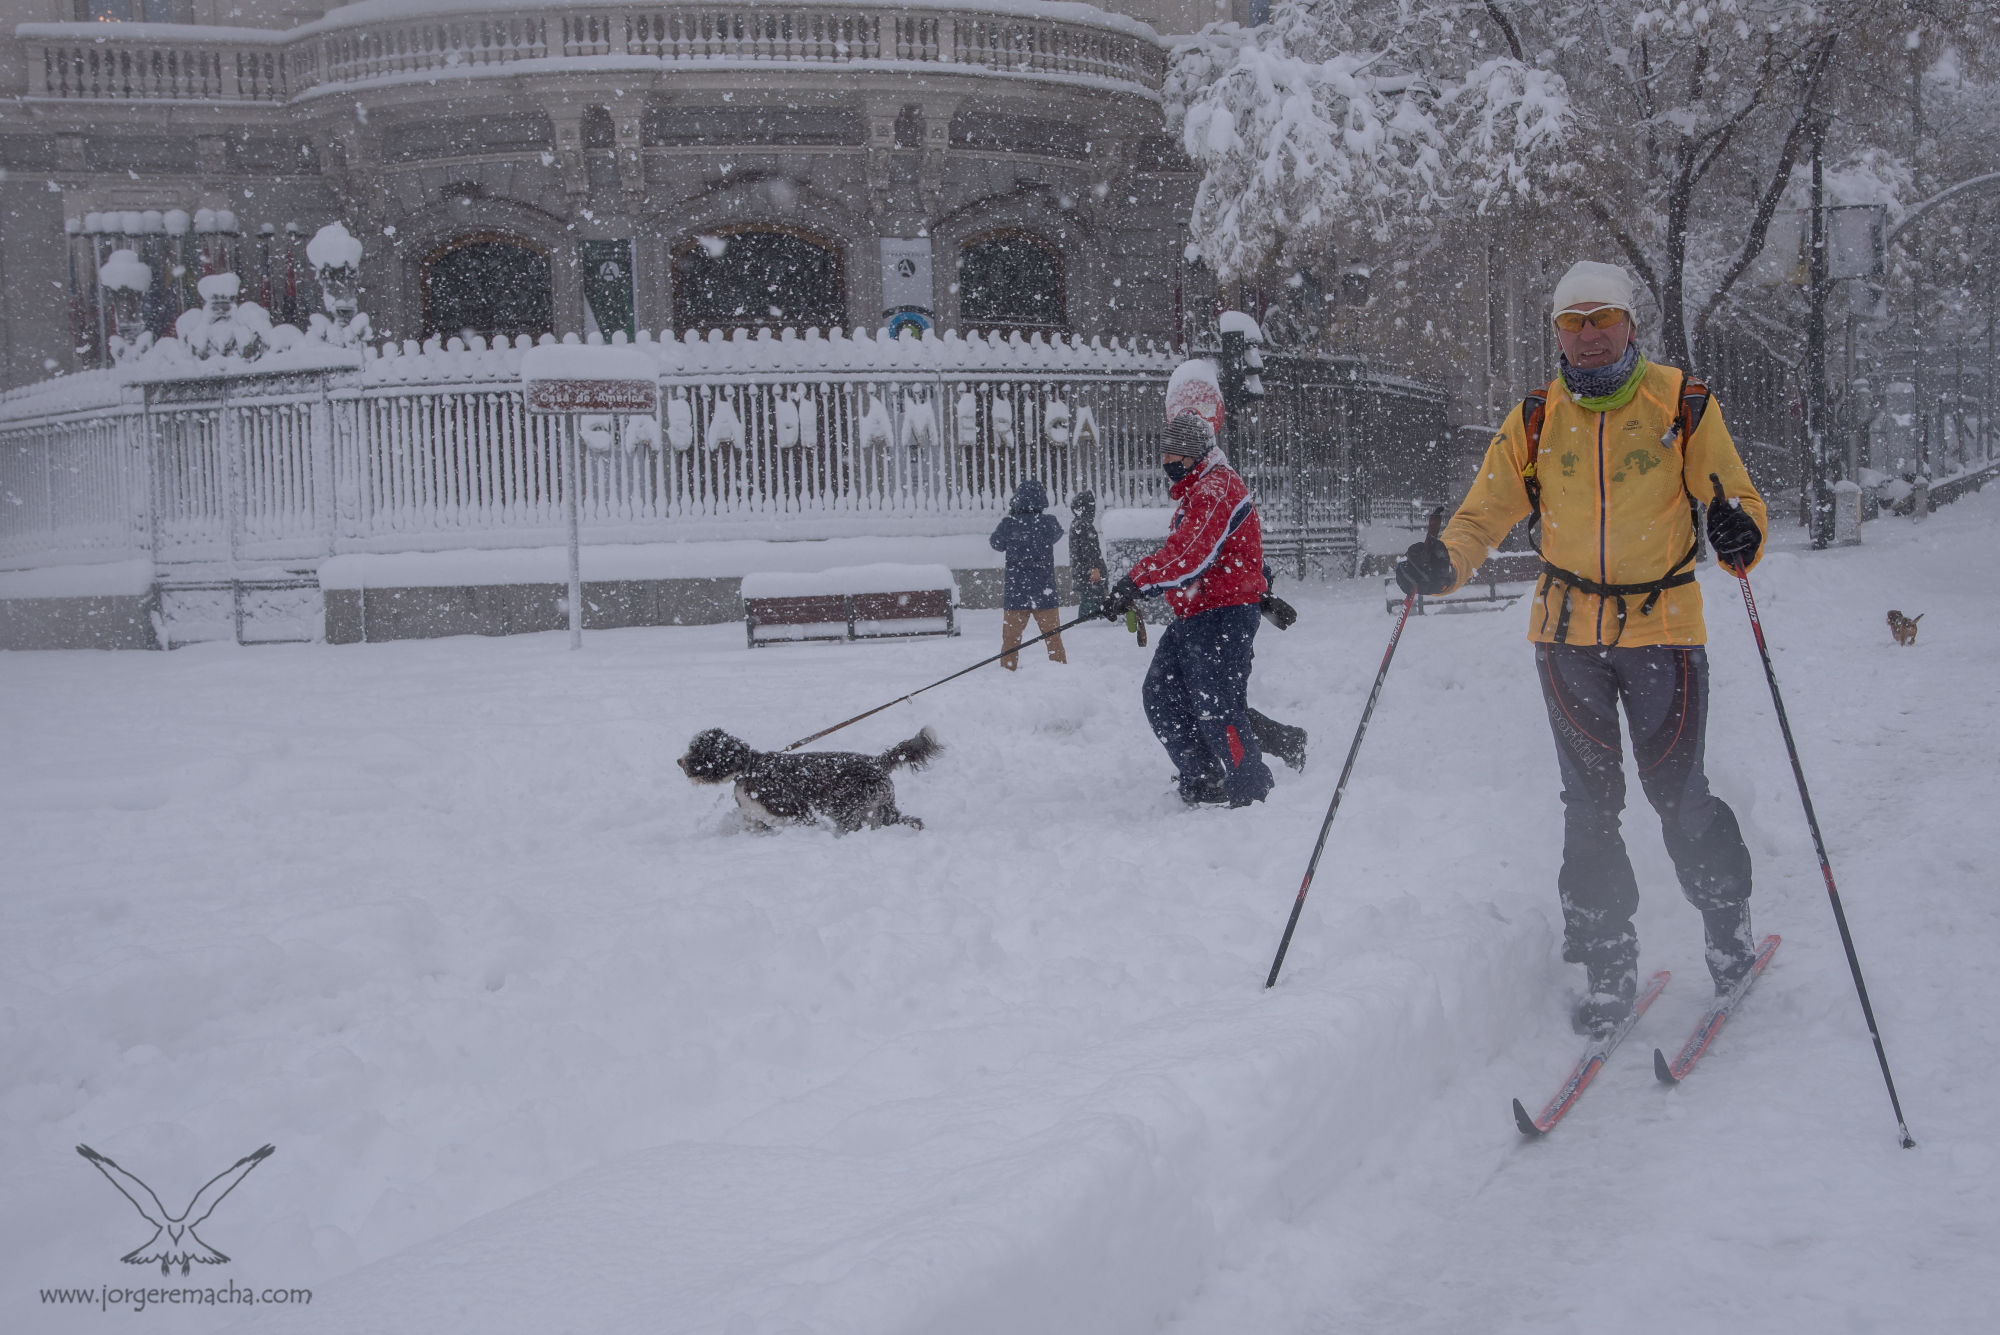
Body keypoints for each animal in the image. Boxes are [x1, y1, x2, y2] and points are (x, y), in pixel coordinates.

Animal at [680, 723, 944, 827]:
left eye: (699, 750)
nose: (679, 761)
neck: (749, 769)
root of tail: (876, 761)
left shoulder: (793, 810)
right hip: (881, 807)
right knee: (909, 820)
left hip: (846, 806)